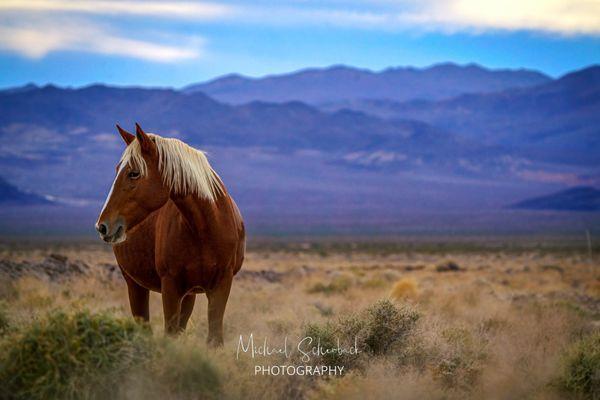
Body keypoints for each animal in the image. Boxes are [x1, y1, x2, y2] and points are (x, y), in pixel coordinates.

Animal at [95, 123, 244, 346]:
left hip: (189, 294)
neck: (205, 229)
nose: (102, 226)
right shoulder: (171, 287)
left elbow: (214, 338)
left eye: (134, 173)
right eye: (116, 170)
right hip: (135, 285)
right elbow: (170, 334)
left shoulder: (221, 285)